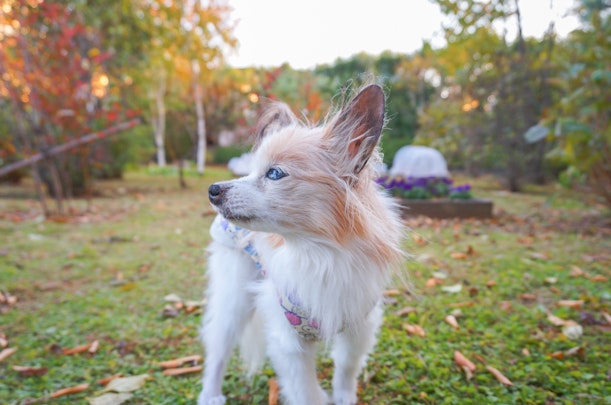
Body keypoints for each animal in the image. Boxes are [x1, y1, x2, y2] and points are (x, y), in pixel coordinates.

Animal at [198, 83, 404, 404]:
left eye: (274, 173)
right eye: (251, 171)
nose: (213, 189)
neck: (318, 254)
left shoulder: (357, 326)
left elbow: (346, 367)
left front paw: (344, 397)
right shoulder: (288, 342)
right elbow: (305, 392)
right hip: (234, 297)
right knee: (218, 346)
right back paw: (210, 393)